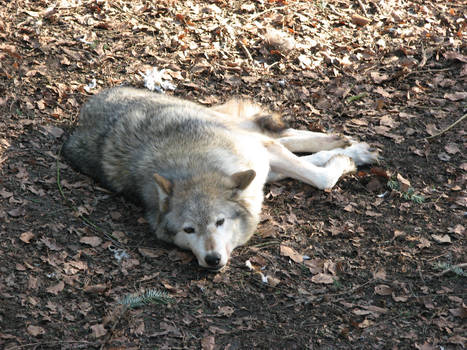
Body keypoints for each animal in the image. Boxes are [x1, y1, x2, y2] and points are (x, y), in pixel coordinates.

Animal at [62, 87, 378, 270]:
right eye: (188, 230)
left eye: (220, 222)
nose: (212, 260)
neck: (201, 166)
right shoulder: (261, 164)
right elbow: (312, 170)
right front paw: (345, 158)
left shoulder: (261, 153)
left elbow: (320, 179)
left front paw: (345, 159)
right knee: (289, 144)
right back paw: (349, 147)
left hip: (246, 133)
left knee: (283, 135)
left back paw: (348, 144)